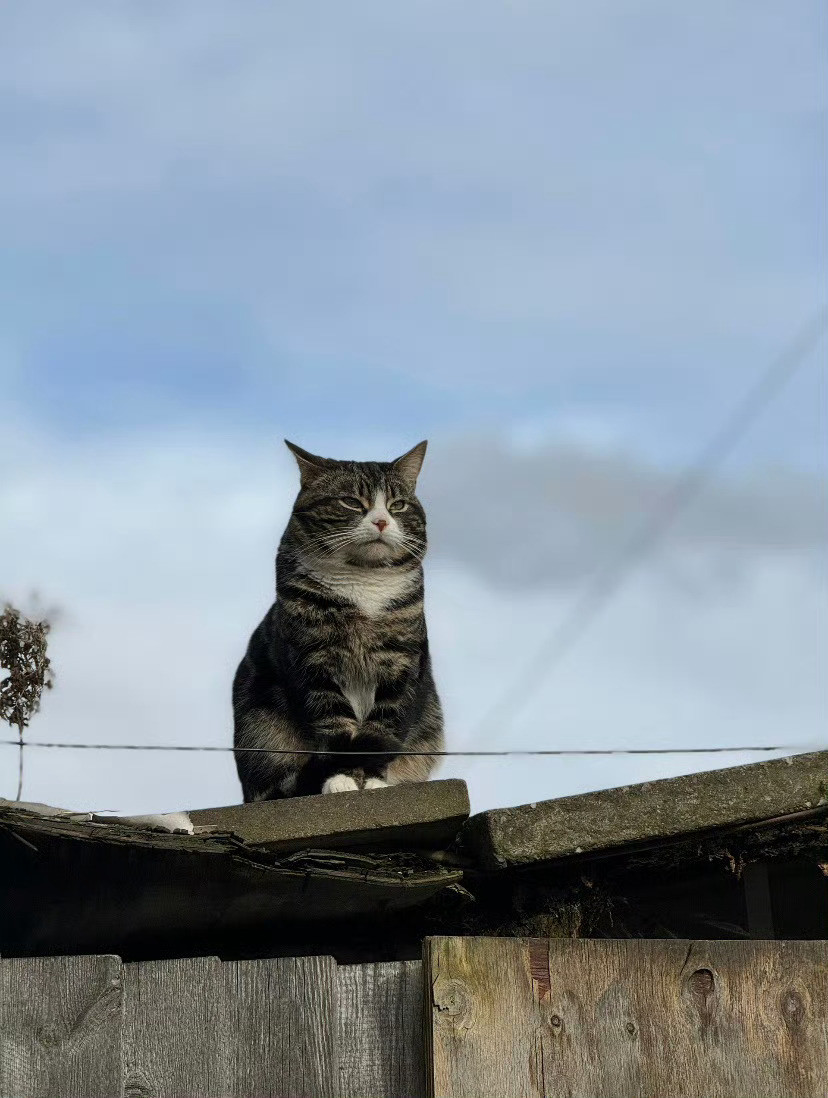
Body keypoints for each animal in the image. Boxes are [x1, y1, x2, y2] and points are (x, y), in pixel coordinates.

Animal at [230, 437, 445, 799]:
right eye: (351, 502)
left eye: (398, 505)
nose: (381, 521)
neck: (363, 585)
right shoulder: (312, 659)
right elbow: (333, 723)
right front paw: (340, 779)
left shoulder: (401, 662)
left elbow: (385, 725)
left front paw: (374, 780)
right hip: (260, 728)